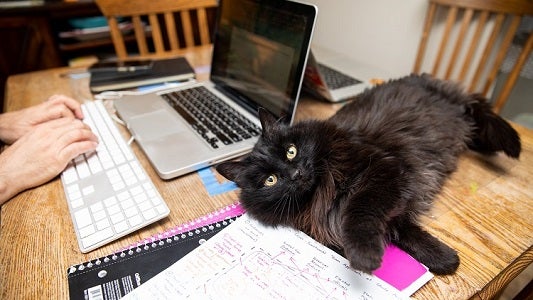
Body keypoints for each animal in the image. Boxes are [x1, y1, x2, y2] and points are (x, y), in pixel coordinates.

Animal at [215, 74, 520, 276]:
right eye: (271, 180)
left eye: (291, 151)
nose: (295, 173)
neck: (321, 191)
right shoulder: (394, 201)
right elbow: (405, 232)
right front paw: (443, 259)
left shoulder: (382, 171)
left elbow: (359, 214)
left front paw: (364, 256)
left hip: (454, 104)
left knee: (478, 107)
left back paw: (511, 143)